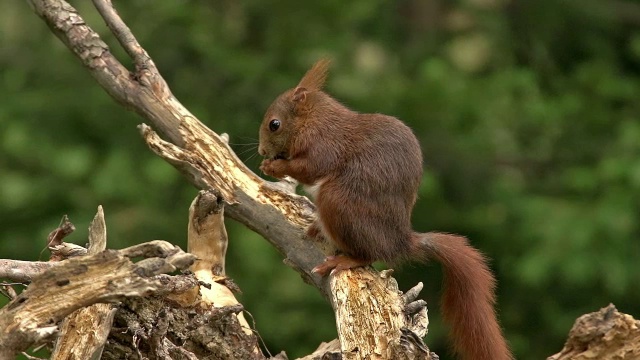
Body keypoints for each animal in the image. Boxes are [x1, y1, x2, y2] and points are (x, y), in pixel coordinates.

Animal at [256, 60, 510, 358]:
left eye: (275, 124)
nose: (261, 151)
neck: (314, 120)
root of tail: (400, 241)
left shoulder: (324, 145)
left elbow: (308, 168)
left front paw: (274, 167)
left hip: (338, 202)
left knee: (369, 254)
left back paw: (344, 259)